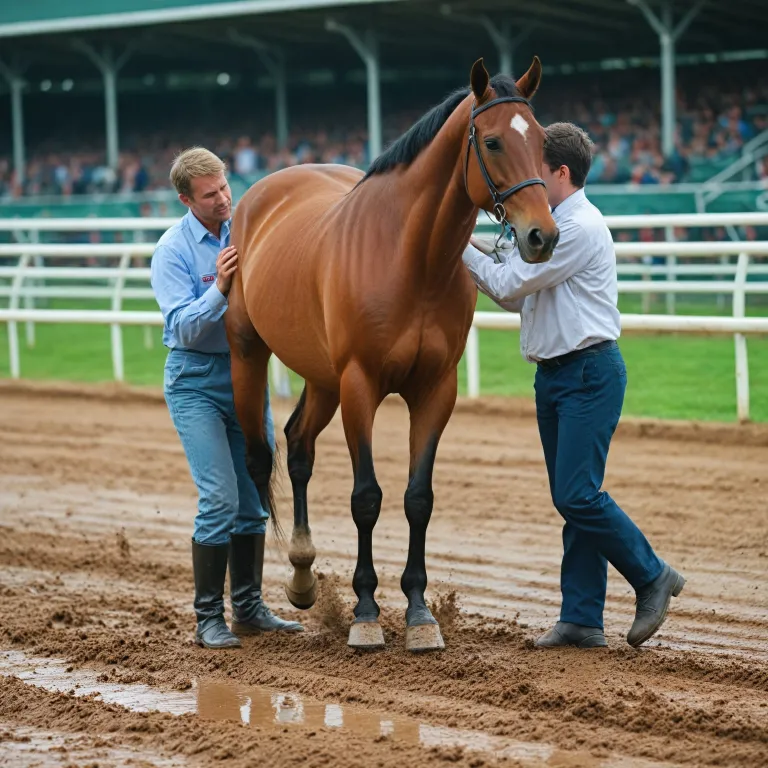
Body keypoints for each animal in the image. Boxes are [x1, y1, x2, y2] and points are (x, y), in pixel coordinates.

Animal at [227, 57, 559, 652]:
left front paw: (420, 614)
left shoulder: (435, 389)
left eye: (542, 140)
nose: (541, 236)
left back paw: (304, 576)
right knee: (260, 459)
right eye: (493, 141)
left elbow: (417, 498)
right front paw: (365, 614)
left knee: (299, 446)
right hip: (252, 355)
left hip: (323, 378)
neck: (411, 257)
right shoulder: (361, 385)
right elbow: (367, 497)